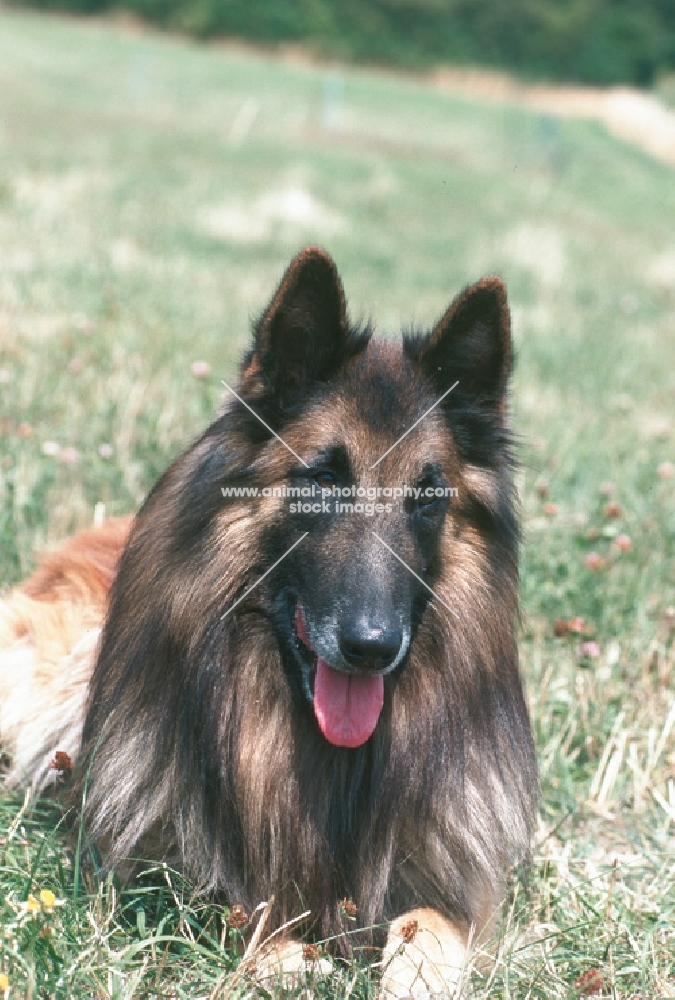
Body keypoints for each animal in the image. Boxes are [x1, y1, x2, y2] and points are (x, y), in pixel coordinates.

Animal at [0, 246, 540, 996]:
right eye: (323, 480)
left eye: (426, 498)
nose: (372, 647)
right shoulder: (165, 877)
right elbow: (260, 924)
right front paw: (298, 961)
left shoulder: (446, 887)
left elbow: (426, 929)